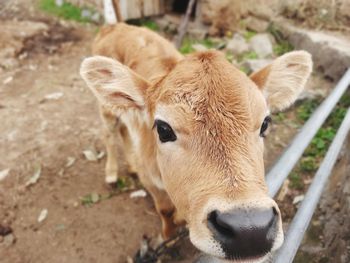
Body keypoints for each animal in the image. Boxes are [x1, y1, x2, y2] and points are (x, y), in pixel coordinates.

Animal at [80, 23, 314, 262]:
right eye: (163, 129)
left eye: (265, 123)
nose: (249, 229)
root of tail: (115, 25)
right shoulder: (151, 180)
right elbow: (164, 210)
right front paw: (166, 235)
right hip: (106, 109)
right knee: (110, 133)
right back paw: (112, 173)